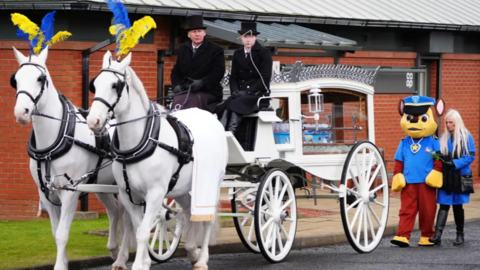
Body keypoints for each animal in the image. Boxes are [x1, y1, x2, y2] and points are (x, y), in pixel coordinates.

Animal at [11, 46, 135, 270]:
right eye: (15, 79)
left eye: (40, 79)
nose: (21, 112)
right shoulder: (46, 193)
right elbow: (55, 232)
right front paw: (64, 261)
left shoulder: (70, 191)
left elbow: (62, 234)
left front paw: (60, 266)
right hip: (101, 185)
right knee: (114, 211)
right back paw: (113, 249)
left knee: (128, 219)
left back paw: (121, 259)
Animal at [86, 49, 227, 268]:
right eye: (95, 84)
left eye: (115, 85)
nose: (93, 121)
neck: (141, 141)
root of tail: (211, 117)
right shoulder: (128, 194)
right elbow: (137, 227)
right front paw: (144, 262)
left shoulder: (155, 193)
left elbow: (144, 231)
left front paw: (138, 265)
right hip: (181, 187)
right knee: (188, 211)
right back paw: (191, 250)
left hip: (212, 183)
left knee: (207, 220)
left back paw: (202, 259)